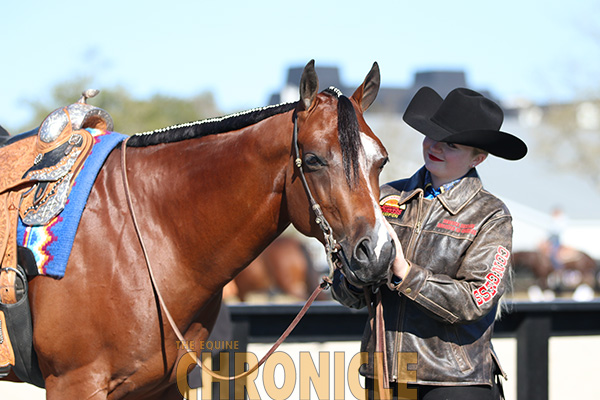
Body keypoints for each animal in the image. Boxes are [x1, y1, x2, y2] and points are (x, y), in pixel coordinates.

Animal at [5, 61, 398, 398]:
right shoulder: (75, 383)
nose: (378, 252)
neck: (139, 237)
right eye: (314, 159)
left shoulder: (160, 386)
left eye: (381, 160)